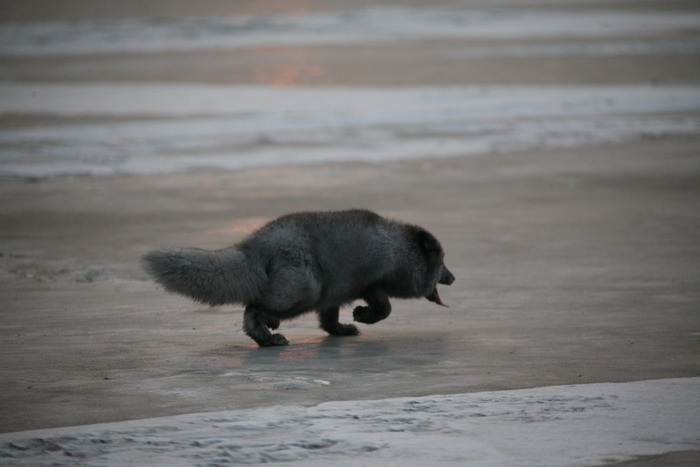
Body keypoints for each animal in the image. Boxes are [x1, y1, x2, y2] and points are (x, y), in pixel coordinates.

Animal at [145, 210, 456, 346]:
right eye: (442, 262)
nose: (453, 278)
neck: (398, 249)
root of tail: (255, 246)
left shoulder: (335, 292)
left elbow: (328, 320)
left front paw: (342, 329)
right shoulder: (372, 283)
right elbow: (385, 309)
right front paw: (362, 315)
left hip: (315, 289)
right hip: (307, 288)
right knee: (252, 307)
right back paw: (267, 336)